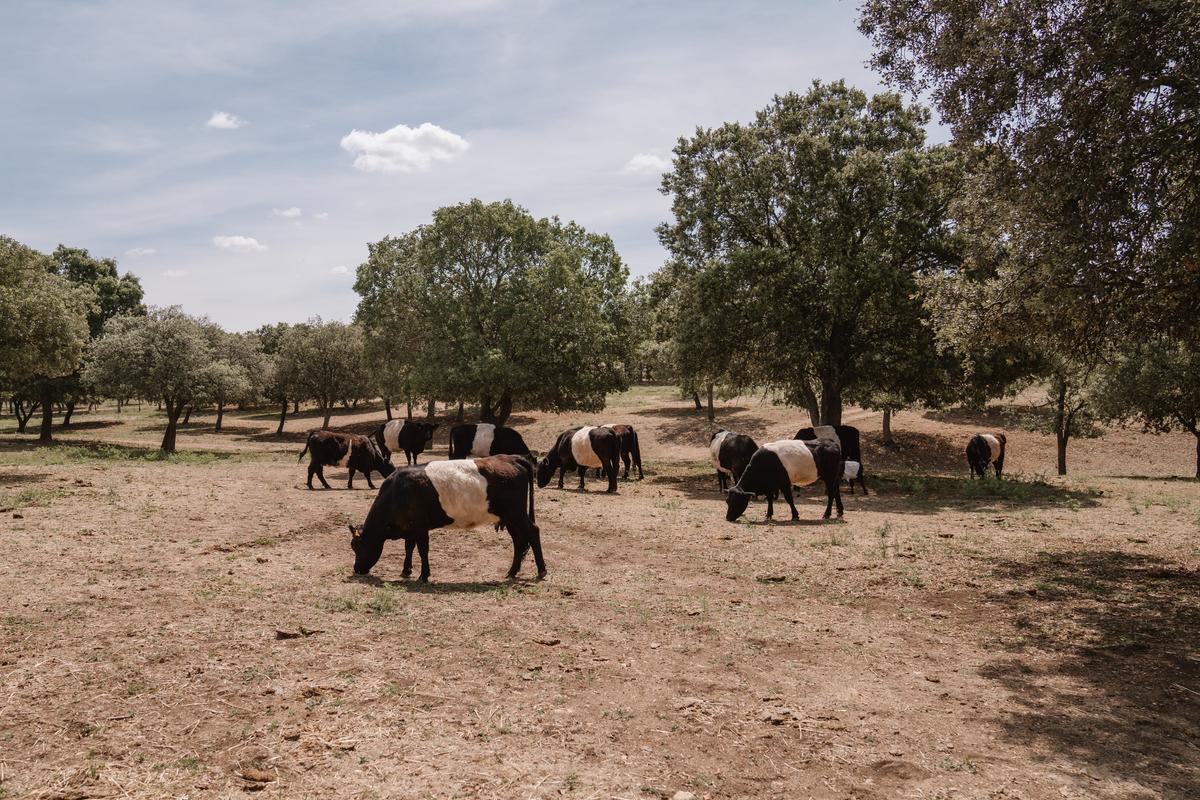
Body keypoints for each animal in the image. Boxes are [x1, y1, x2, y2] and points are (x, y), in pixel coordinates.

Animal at [343, 455, 540, 582]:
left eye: (357, 546)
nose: (356, 569)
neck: (396, 493)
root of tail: (512, 458)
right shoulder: (410, 528)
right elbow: (409, 547)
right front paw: (406, 570)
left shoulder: (420, 527)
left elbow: (422, 550)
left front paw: (423, 576)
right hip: (510, 518)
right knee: (519, 541)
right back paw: (512, 572)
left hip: (516, 513)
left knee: (533, 532)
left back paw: (542, 570)